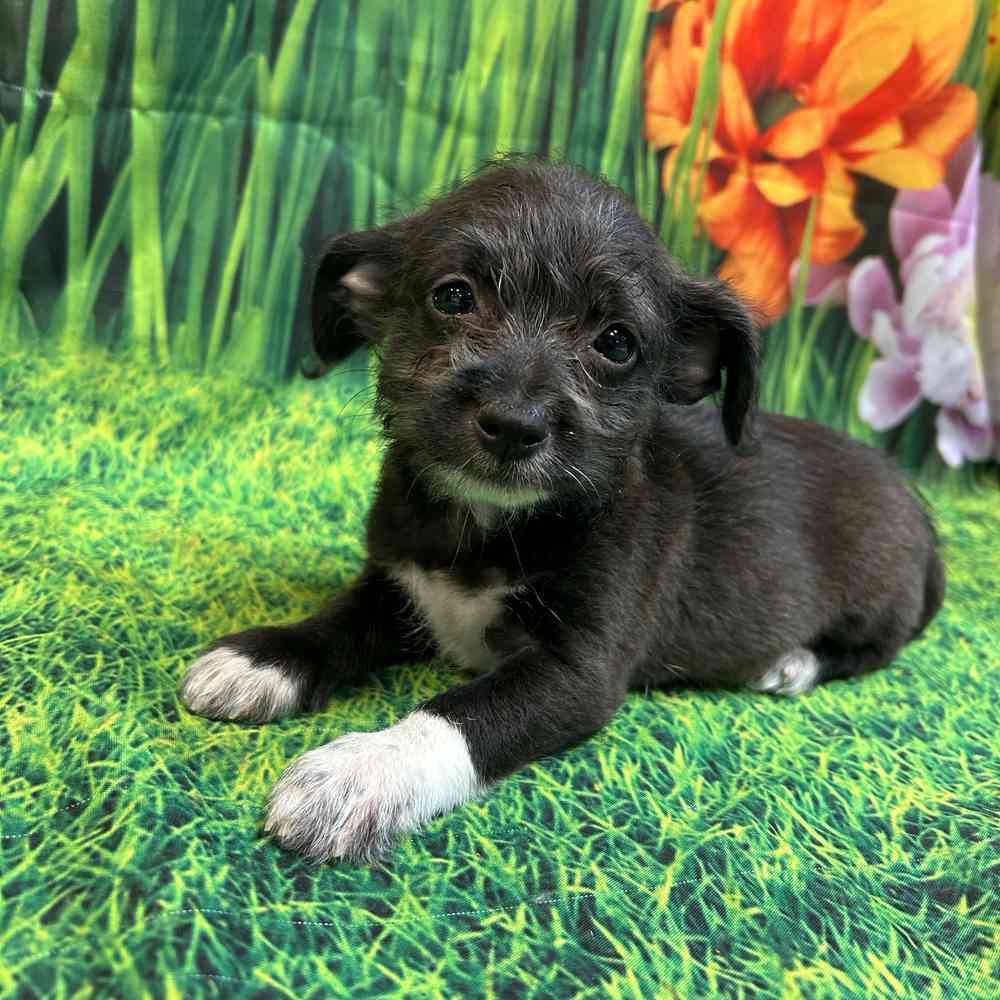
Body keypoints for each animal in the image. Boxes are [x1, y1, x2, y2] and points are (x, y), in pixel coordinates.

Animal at [180, 159, 945, 863]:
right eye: (454, 296)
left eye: (616, 342)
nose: (515, 424)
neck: (486, 530)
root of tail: (921, 513)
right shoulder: (396, 585)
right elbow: (336, 621)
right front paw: (261, 658)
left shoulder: (578, 672)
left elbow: (456, 715)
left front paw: (361, 771)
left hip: (875, 601)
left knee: (874, 648)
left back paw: (793, 665)